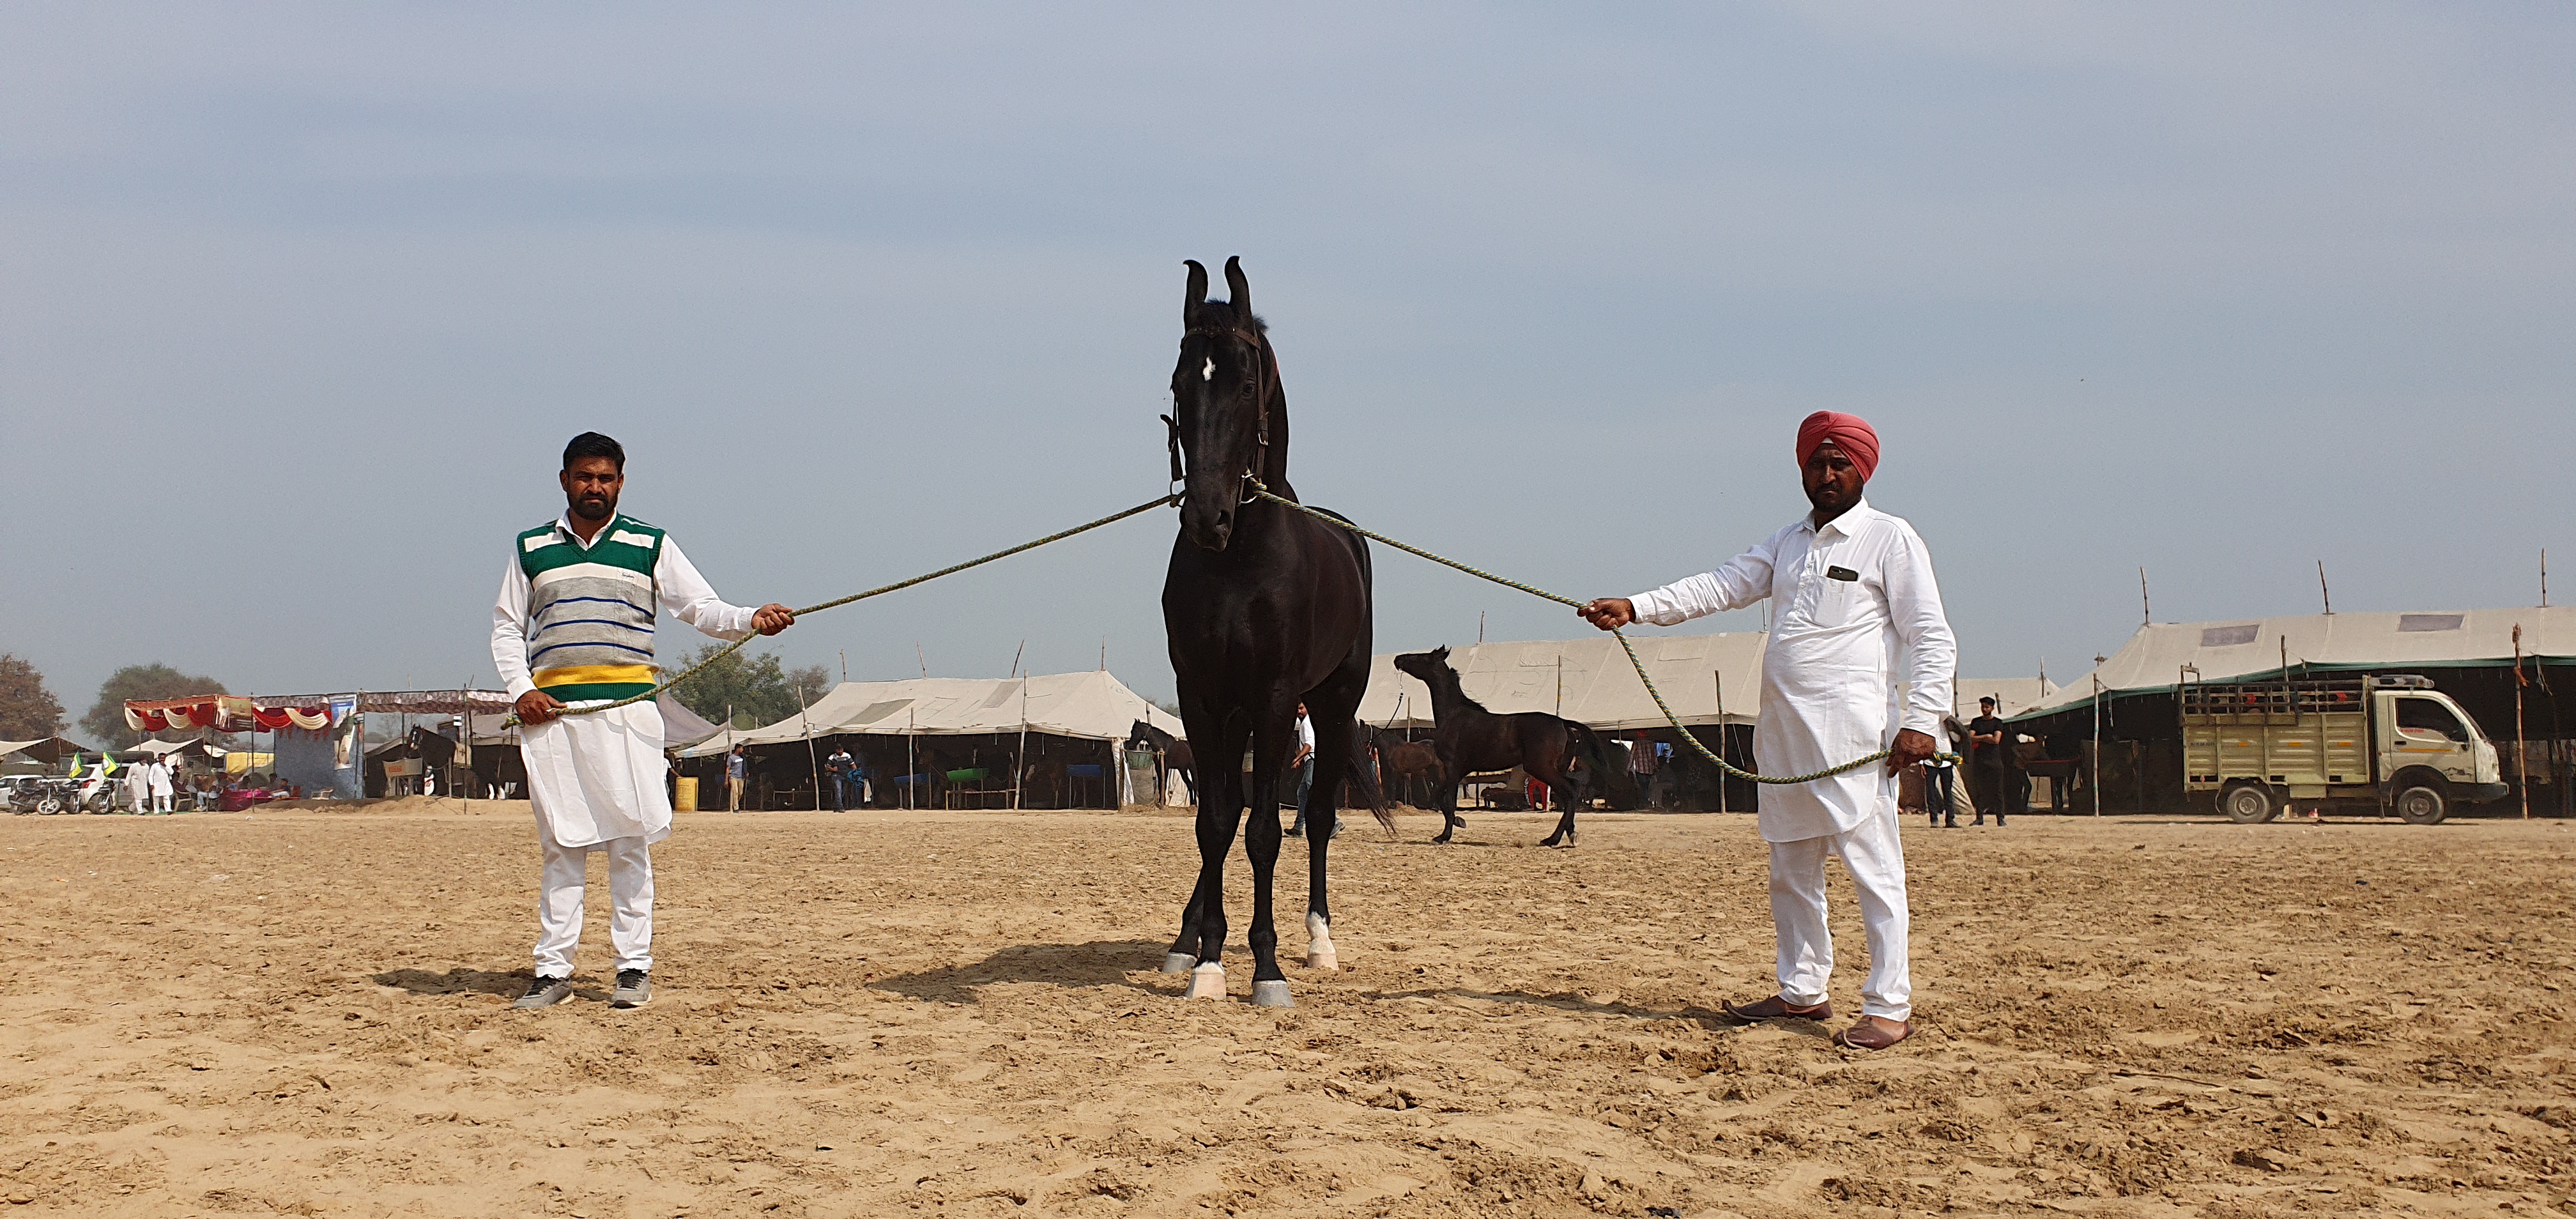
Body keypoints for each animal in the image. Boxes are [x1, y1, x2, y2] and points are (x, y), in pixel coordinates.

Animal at [1128, 716, 1195, 804]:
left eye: (1133, 731)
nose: (1129, 745)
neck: (1162, 746)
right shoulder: (1158, 768)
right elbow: (1160, 784)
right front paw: (1160, 801)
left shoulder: (1166, 768)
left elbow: (1164, 784)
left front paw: (1164, 802)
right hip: (1183, 769)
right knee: (1190, 784)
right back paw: (1193, 803)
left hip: (1191, 769)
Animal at [1159, 256, 1391, 1005]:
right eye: (1180, 382)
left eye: (1245, 382)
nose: (1207, 517)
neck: (1241, 560)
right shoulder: (1203, 698)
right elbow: (1214, 823)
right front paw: (1207, 961)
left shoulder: (1276, 699)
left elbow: (1265, 831)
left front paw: (1266, 967)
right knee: (1227, 814)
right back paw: (1185, 938)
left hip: (1333, 706)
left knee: (1315, 819)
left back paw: (1319, 942)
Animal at [1391, 647, 1628, 845]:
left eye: (1421, 657)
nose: (1398, 659)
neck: (1453, 714)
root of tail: (1563, 723)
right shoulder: (1461, 771)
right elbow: (1440, 797)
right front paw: (1457, 823)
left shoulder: (1451, 767)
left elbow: (1445, 800)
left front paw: (1444, 835)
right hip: (1556, 768)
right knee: (1572, 791)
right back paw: (1570, 834)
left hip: (1541, 768)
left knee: (1570, 792)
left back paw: (1552, 839)